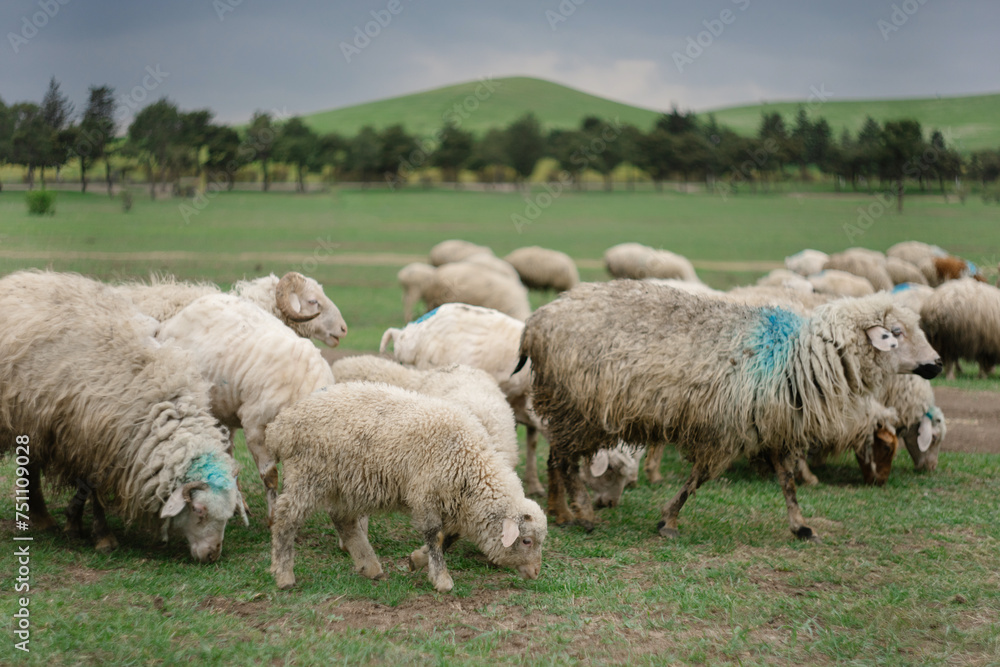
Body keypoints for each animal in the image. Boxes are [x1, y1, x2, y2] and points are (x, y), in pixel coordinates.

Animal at [0, 270, 245, 561]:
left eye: (228, 515)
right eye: (199, 511)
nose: (211, 556)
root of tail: (14, 280)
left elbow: (83, 488)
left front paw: (73, 523)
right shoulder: (93, 440)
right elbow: (92, 490)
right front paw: (103, 537)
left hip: (34, 419)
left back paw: (42, 518)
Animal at [266, 382, 548, 592]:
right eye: (526, 541)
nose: (535, 573)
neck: (469, 461)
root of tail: (280, 425)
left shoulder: (452, 503)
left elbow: (450, 537)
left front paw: (416, 560)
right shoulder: (426, 495)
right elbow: (436, 536)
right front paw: (441, 579)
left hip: (345, 482)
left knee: (343, 520)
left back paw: (370, 567)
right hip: (307, 475)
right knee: (286, 519)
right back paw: (284, 575)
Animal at [518, 280, 942, 540]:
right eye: (896, 334)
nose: (937, 364)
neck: (799, 355)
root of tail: (538, 320)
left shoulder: (774, 427)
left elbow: (787, 481)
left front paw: (800, 526)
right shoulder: (725, 430)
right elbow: (697, 479)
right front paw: (668, 520)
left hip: (568, 407)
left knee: (556, 457)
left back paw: (561, 513)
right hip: (580, 408)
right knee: (567, 461)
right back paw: (584, 514)